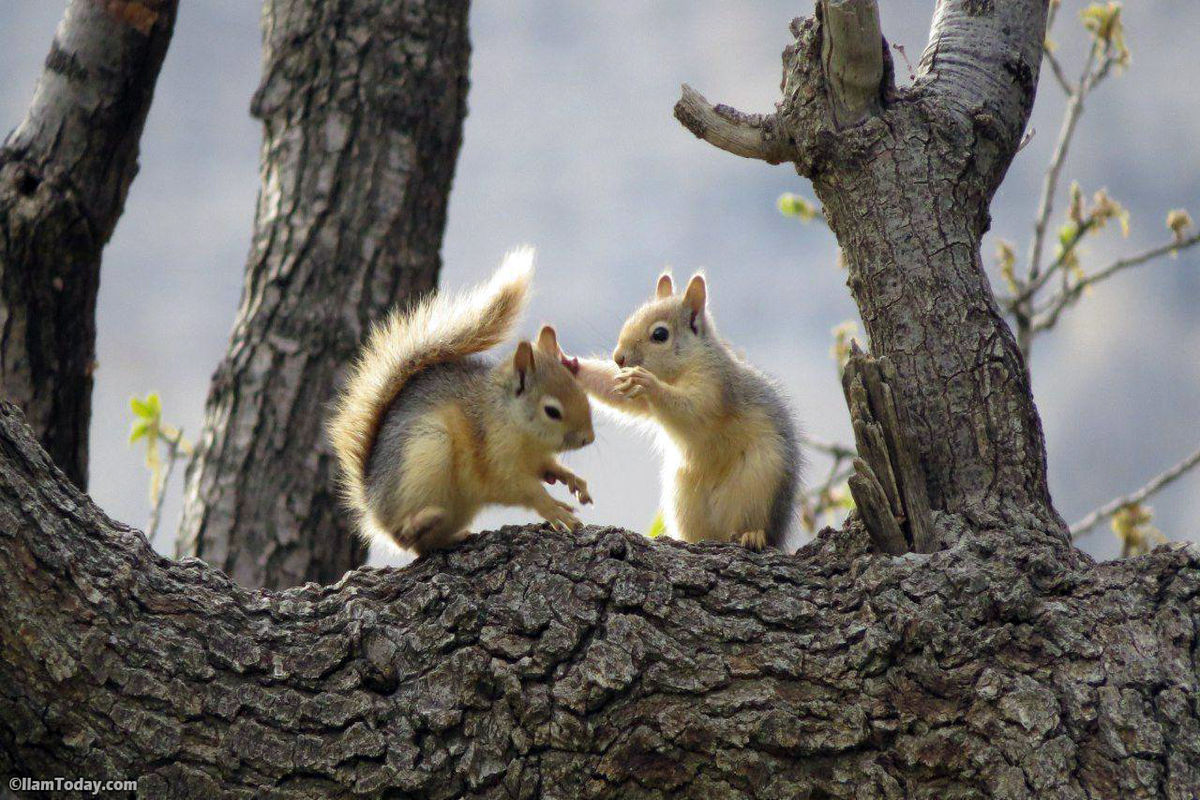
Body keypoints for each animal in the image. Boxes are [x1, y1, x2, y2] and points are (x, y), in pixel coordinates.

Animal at [328, 250, 595, 556]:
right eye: (552, 411)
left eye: (580, 389)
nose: (589, 438)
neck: (515, 423)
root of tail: (373, 507)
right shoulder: (494, 458)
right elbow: (522, 489)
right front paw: (553, 508)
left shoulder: (536, 458)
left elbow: (549, 468)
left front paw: (572, 480)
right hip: (429, 451)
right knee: (404, 537)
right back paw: (420, 520)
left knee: (424, 546)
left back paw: (450, 535)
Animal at [568, 273, 801, 551]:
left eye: (660, 334)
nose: (618, 358)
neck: (683, 367)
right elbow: (619, 395)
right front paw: (569, 364)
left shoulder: (715, 386)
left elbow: (693, 409)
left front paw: (648, 382)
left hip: (760, 484)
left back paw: (753, 535)